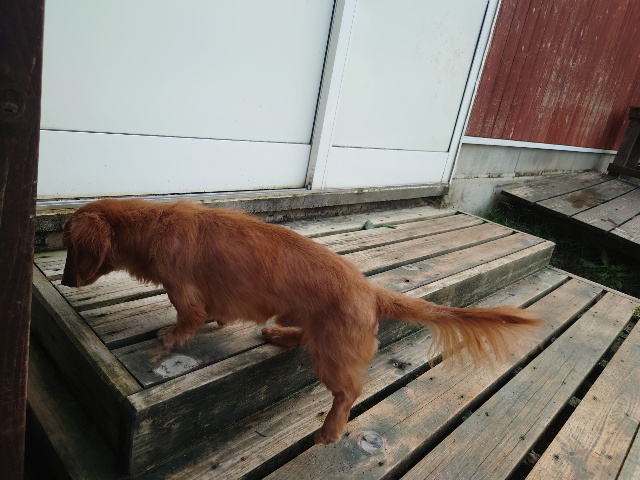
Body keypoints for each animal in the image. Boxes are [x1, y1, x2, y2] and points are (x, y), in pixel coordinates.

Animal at [61, 199, 542, 444]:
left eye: (69, 248)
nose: (63, 281)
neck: (157, 223)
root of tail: (371, 291)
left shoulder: (182, 292)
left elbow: (186, 319)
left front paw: (171, 337)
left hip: (332, 356)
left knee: (349, 392)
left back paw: (330, 429)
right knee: (301, 340)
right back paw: (278, 333)